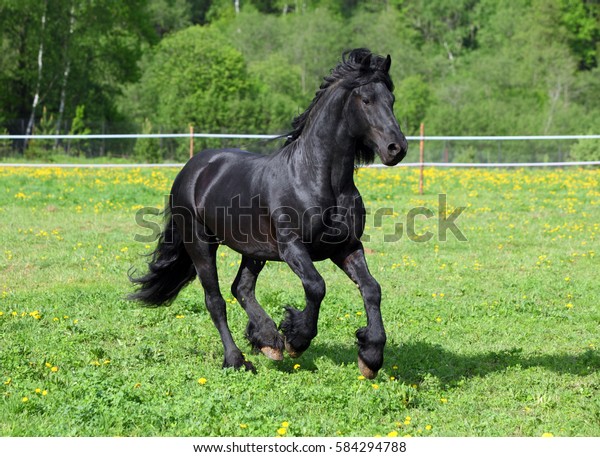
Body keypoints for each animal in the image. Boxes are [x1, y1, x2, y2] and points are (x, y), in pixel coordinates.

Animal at [131, 49, 408, 378]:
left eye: (391, 99)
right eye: (366, 100)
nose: (396, 148)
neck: (315, 178)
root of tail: (193, 169)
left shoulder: (346, 247)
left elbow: (372, 289)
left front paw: (370, 356)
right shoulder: (293, 248)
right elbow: (316, 286)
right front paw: (296, 339)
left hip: (254, 251)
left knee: (241, 288)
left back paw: (267, 340)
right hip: (200, 244)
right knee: (215, 300)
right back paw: (238, 359)